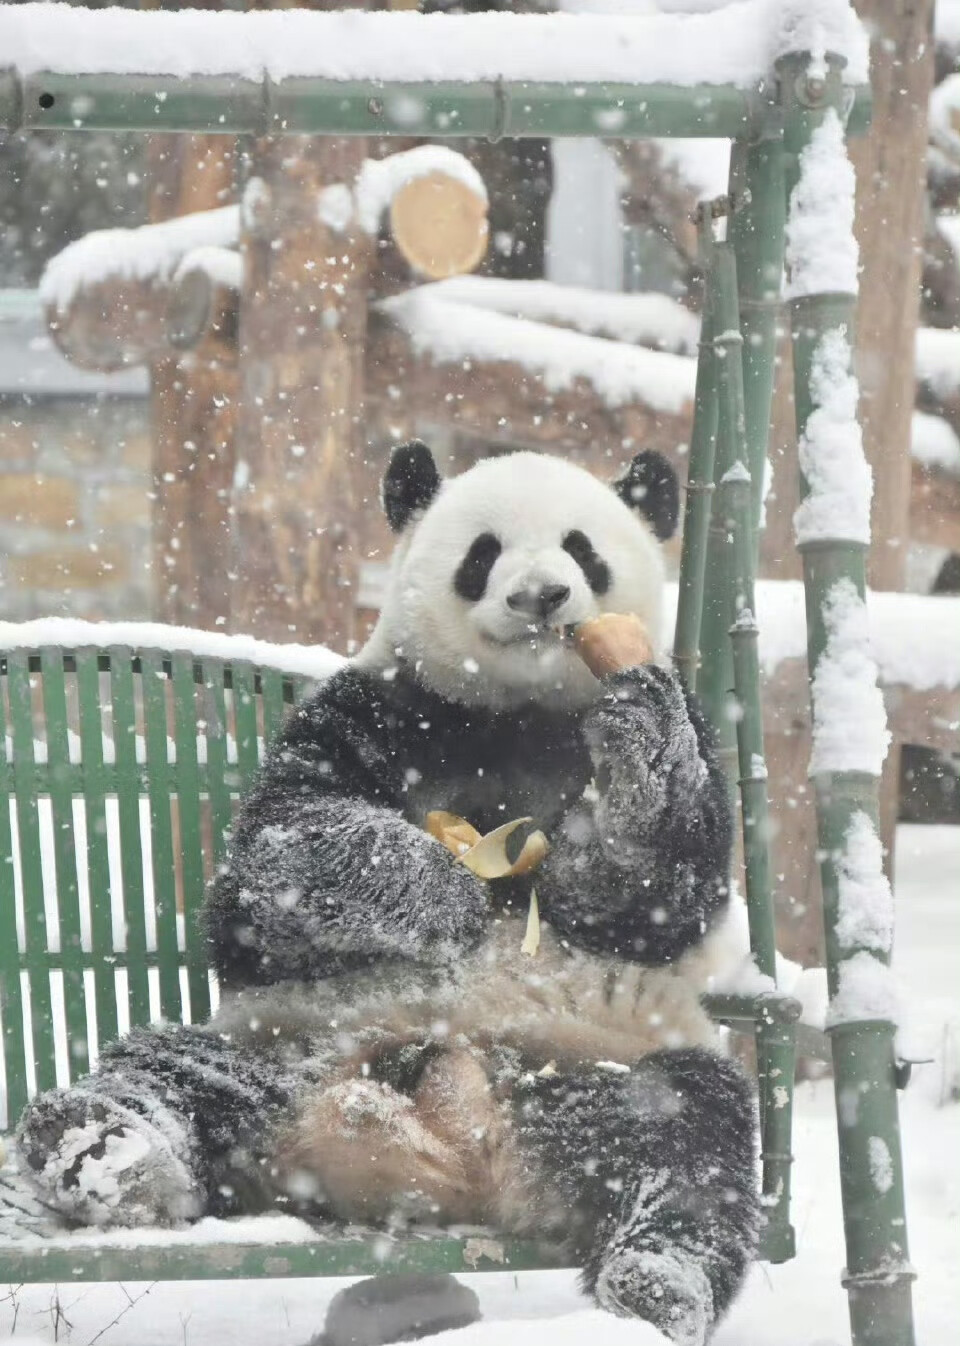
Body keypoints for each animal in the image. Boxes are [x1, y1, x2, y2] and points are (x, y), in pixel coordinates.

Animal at [16, 446, 753, 1346]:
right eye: (483, 554)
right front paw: (450, 897)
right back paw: (101, 1150)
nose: (541, 596)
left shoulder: (689, 741)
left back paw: (656, 1287)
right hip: (282, 1049)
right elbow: (263, 880)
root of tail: (457, 1154)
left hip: (602, 1065)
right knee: (168, 1074)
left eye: (582, 550)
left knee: (692, 1141)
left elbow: (660, 892)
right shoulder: (376, 707)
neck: (517, 711)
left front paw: (636, 734)